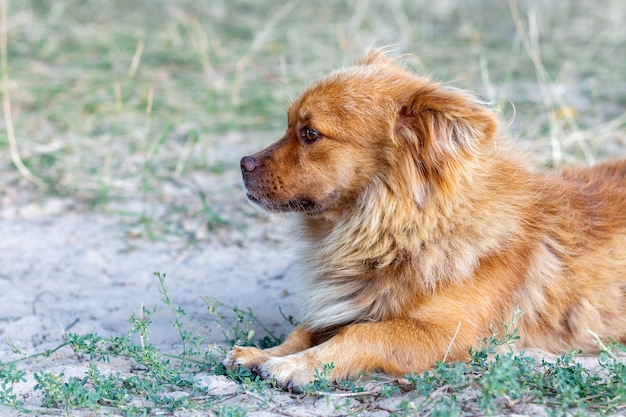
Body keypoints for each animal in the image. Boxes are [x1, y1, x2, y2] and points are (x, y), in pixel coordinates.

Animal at [222, 51, 624, 390]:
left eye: (310, 134)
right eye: (289, 126)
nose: (243, 163)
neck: (402, 231)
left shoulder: (448, 335)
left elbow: (363, 334)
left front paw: (296, 366)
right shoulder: (353, 303)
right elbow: (304, 331)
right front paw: (264, 354)